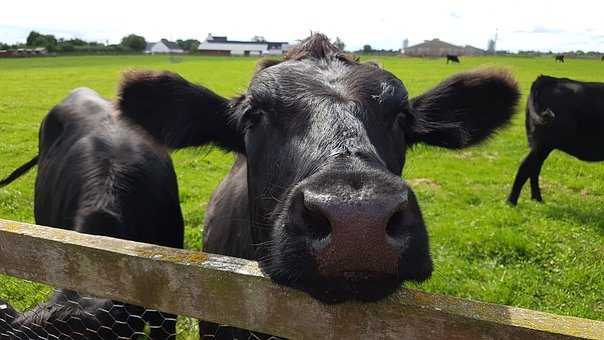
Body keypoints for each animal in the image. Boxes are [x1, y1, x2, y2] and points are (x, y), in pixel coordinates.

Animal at [510, 75, 604, 206]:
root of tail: (547, 79)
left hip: (539, 145)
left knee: (534, 169)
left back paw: (537, 199)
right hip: (543, 144)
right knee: (526, 167)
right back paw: (511, 202)